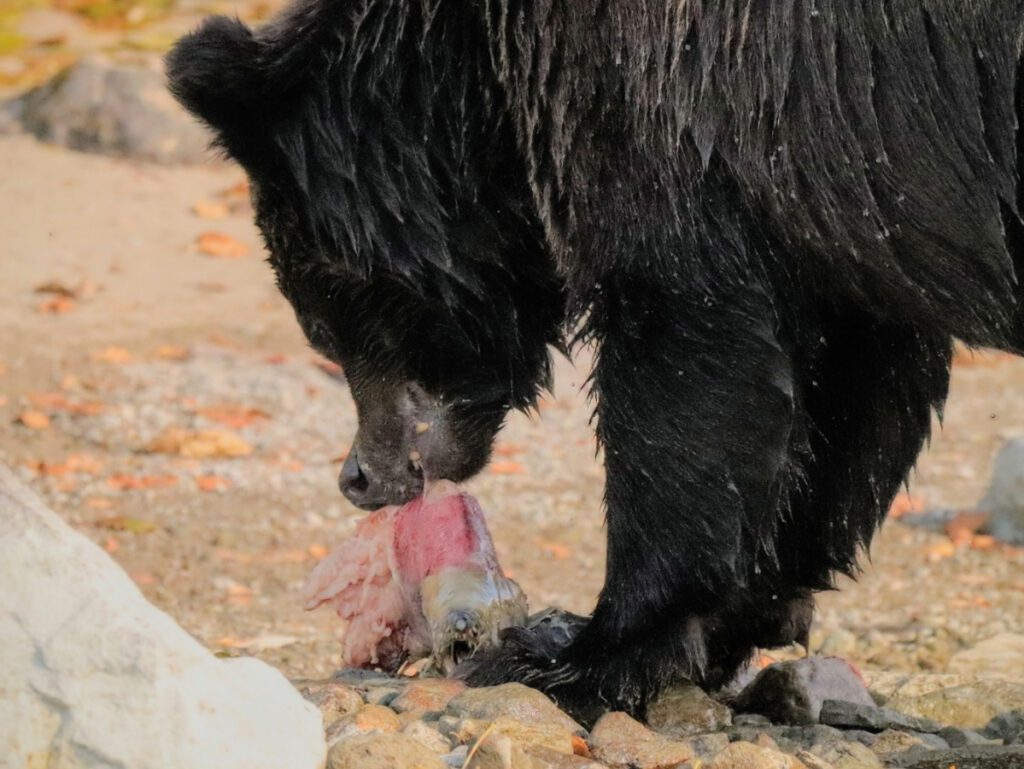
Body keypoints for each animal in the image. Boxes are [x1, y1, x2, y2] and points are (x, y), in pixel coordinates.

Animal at [167, 0, 1024, 720]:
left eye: (321, 319)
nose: (359, 477)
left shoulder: (665, 98)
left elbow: (686, 354)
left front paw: (576, 651)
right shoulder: (834, 201)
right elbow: (853, 390)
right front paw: (741, 615)